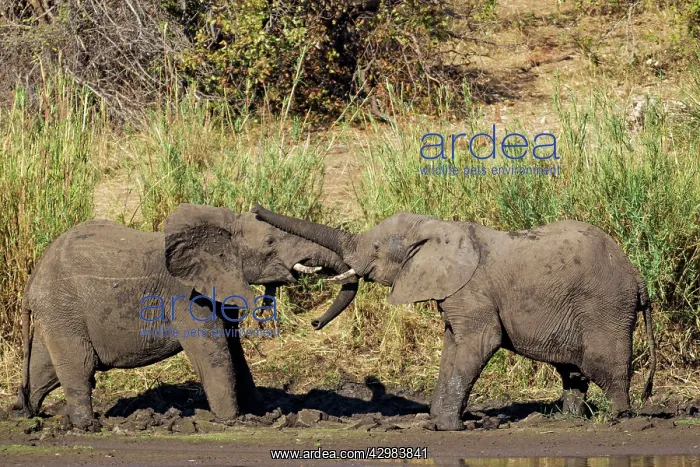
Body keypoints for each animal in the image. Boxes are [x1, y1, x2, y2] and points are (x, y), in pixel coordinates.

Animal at [13, 203, 358, 430]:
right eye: (271, 243)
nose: (315, 323)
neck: (223, 230)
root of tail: (31, 281)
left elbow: (235, 352)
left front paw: (263, 413)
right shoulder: (186, 295)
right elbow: (212, 351)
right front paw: (233, 421)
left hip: (57, 313)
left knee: (45, 369)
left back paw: (26, 414)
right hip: (63, 307)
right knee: (80, 365)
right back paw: (88, 427)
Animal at [252, 205, 657, 431]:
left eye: (378, 247)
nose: (313, 324)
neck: (438, 228)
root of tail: (638, 277)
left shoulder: (473, 292)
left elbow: (478, 343)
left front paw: (447, 427)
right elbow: (452, 345)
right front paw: (437, 424)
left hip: (606, 306)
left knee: (603, 364)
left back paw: (619, 418)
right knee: (572, 372)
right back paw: (566, 420)